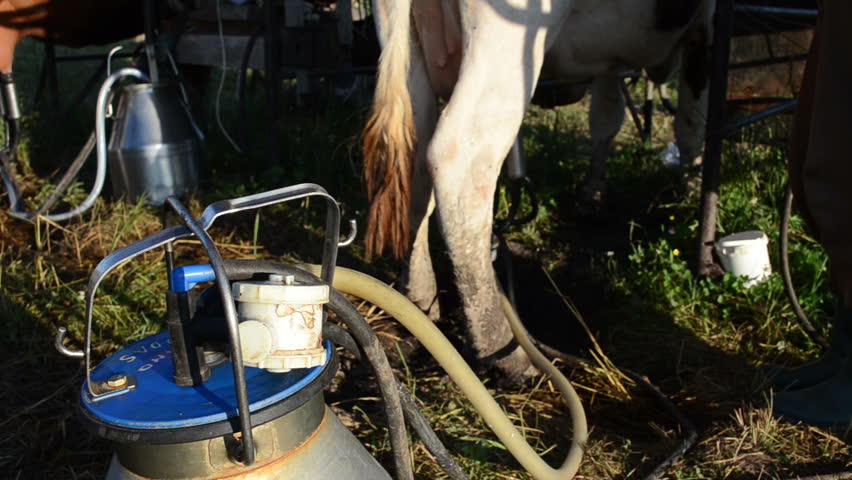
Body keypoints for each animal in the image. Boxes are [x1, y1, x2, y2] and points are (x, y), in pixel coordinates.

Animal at [362, 0, 716, 380]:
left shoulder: (613, 65)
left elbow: (606, 117)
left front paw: (593, 194)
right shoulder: (705, 27)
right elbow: (692, 122)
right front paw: (691, 191)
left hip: (408, 49)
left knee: (412, 155)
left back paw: (419, 299)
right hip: (506, 40)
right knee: (460, 160)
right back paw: (504, 351)